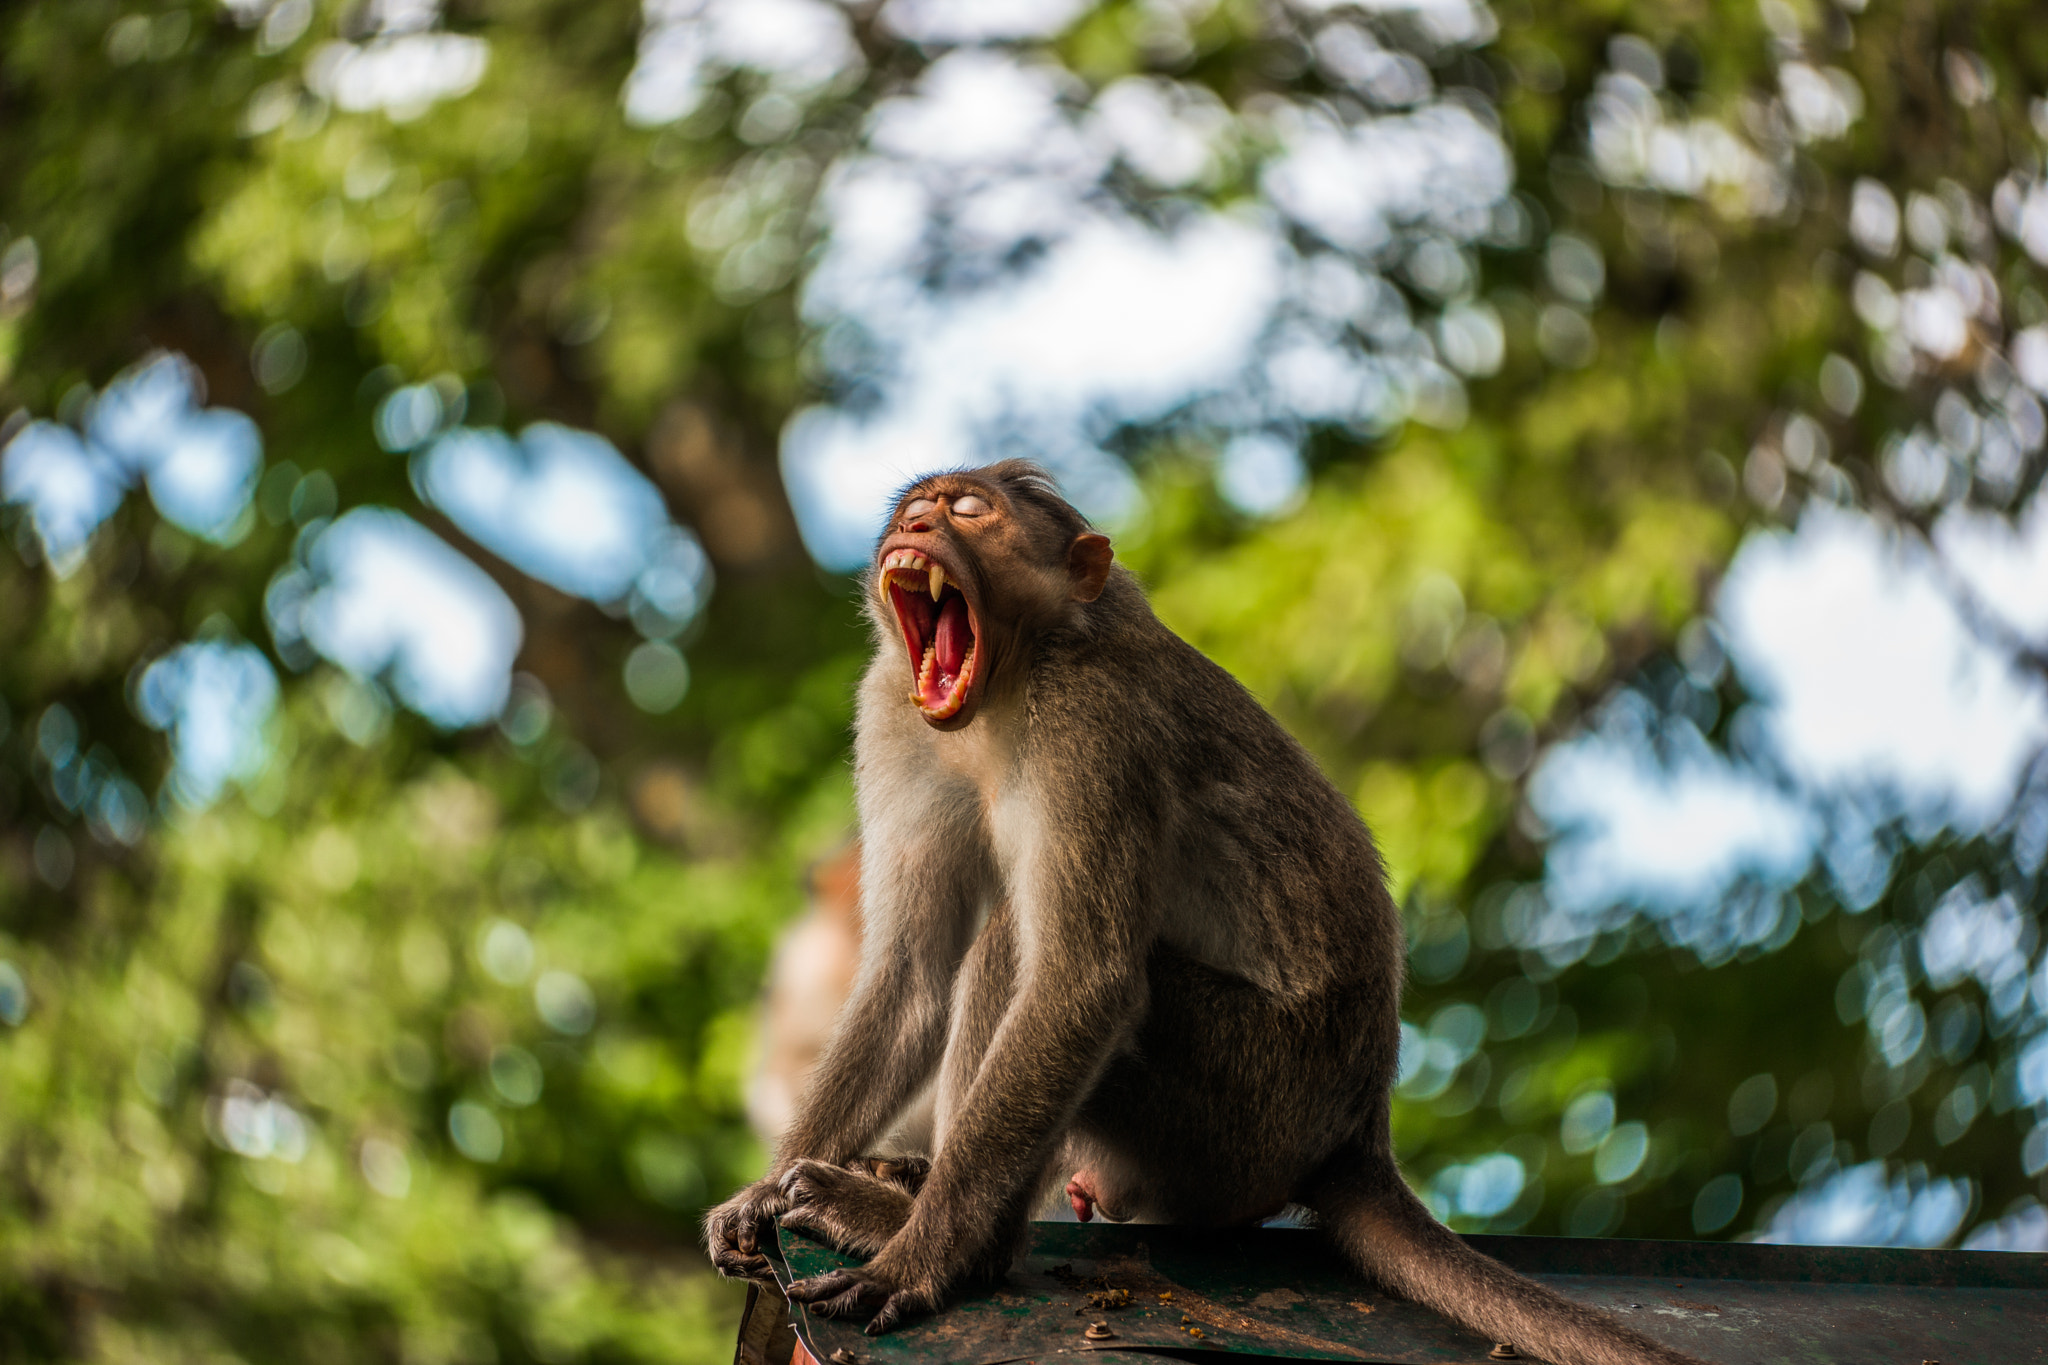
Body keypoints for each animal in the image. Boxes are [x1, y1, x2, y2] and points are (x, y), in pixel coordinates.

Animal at [708, 462, 1712, 1365]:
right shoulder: (891, 709)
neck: (1007, 683)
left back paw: (942, 1234)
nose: (915, 530)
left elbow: (1082, 984)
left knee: (1022, 959)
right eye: (915, 510)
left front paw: (920, 1261)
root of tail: (1356, 1129)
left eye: (967, 511)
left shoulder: (1090, 730)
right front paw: (760, 1195)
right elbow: (911, 971)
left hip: (1244, 1104)